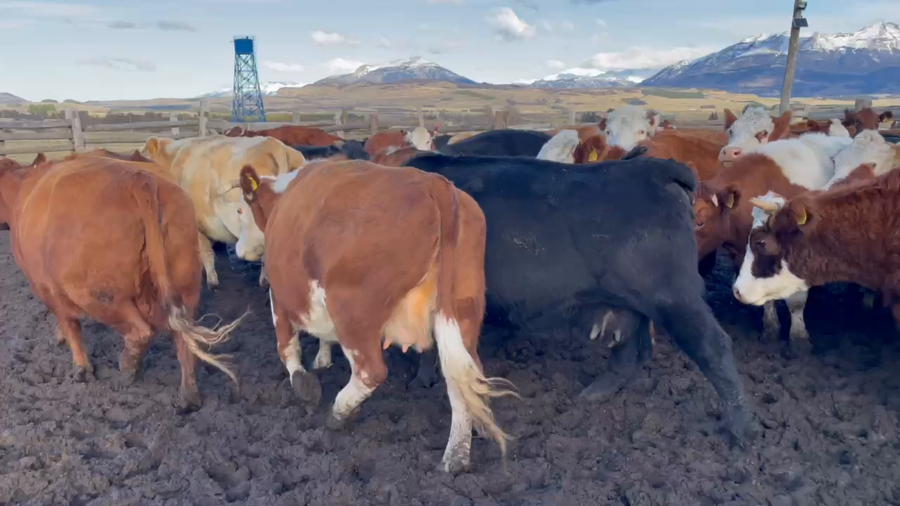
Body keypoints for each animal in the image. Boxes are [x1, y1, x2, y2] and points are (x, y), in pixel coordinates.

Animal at [0, 154, 243, 410]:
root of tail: (138, 179)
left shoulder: (46, 287)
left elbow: (70, 324)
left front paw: (81, 367)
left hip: (98, 295)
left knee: (140, 332)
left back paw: (128, 366)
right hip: (185, 288)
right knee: (183, 343)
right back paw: (188, 397)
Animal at [235, 160, 514, 473]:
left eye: (241, 210)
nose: (237, 250)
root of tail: (434, 184)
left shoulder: (280, 295)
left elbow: (286, 346)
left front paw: (303, 381)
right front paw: (322, 359)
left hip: (353, 311)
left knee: (371, 371)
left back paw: (339, 413)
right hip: (460, 311)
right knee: (463, 377)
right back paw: (455, 457)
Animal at [403, 153, 753, 443]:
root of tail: (656, 167)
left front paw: (422, 380)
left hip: (674, 297)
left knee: (713, 347)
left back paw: (740, 430)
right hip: (632, 302)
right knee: (633, 350)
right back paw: (595, 393)